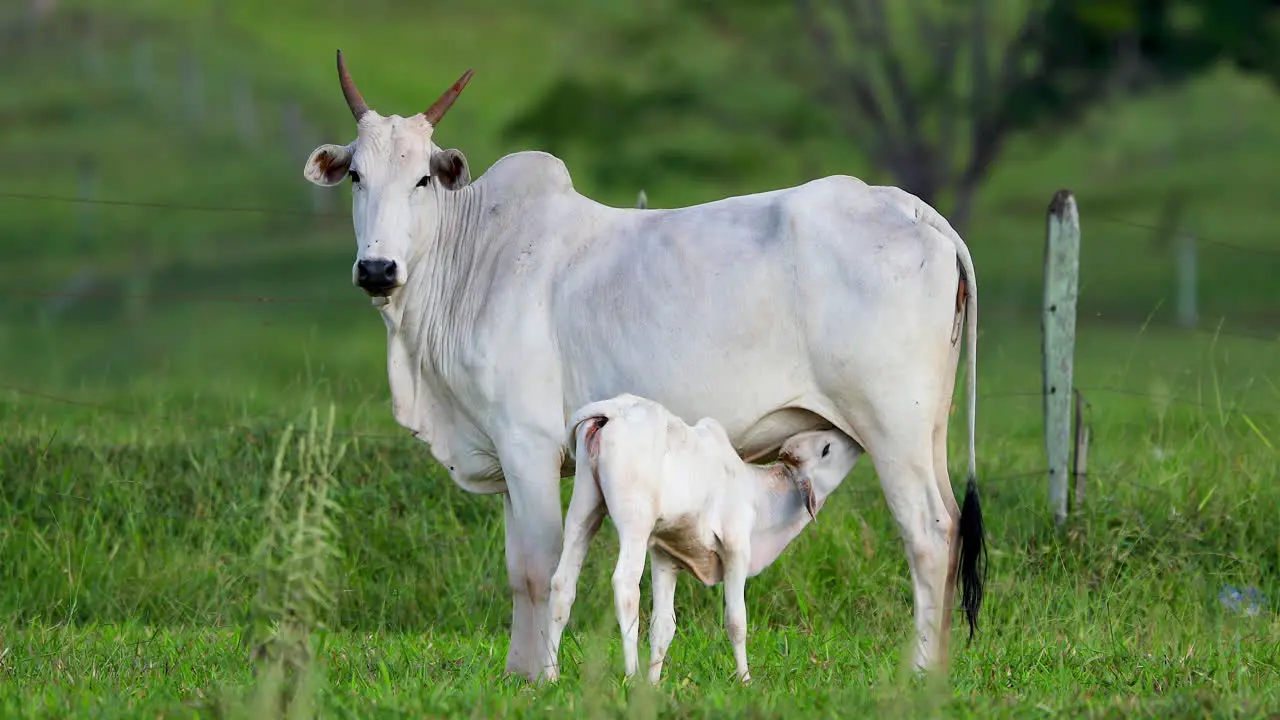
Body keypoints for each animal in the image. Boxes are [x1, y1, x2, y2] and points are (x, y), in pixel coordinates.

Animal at [542, 394, 860, 681]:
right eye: (826, 448)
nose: (849, 437)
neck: (759, 495)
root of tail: (614, 409)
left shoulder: (665, 556)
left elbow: (663, 627)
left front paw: (653, 685)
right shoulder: (736, 549)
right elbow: (736, 621)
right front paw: (745, 680)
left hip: (584, 510)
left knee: (562, 585)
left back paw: (550, 676)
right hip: (635, 524)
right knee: (625, 586)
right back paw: (630, 676)